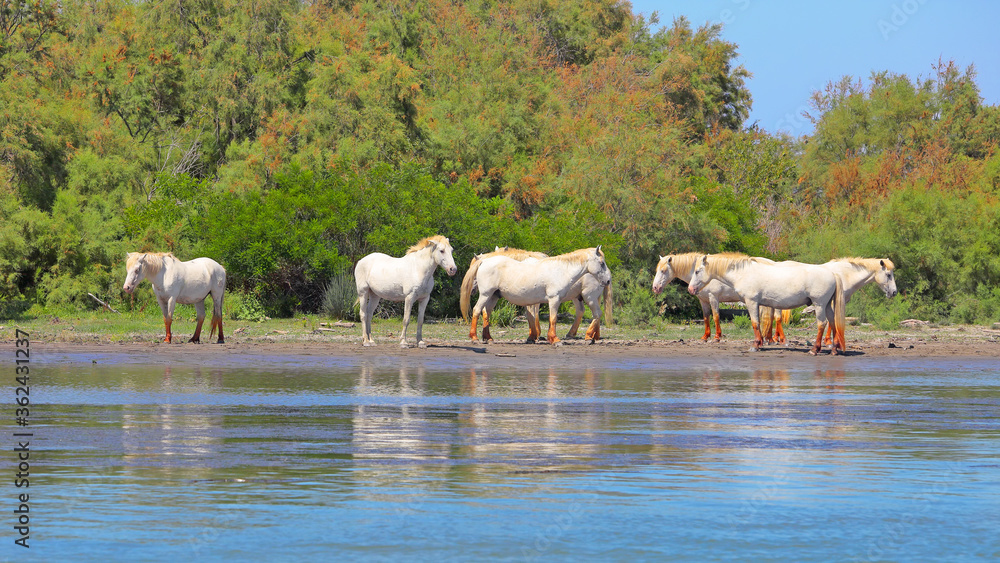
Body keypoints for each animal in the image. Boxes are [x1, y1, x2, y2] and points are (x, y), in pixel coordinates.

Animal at [461, 247, 613, 343]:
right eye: (602, 263)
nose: (608, 280)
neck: (561, 270)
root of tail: (484, 262)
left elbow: (542, 318)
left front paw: (542, 337)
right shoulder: (553, 299)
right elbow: (551, 319)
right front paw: (553, 339)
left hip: (493, 296)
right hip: (486, 294)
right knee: (477, 310)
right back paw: (474, 337)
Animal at [687, 253, 846, 355]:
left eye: (697, 271)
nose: (690, 289)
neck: (744, 273)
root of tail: (832, 273)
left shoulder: (751, 302)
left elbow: (754, 323)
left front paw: (755, 345)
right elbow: (758, 323)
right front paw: (760, 343)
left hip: (819, 305)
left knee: (821, 324)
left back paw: (815, 349)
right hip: (827, 305)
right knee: (833, 323)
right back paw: (834, 350)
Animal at [760, 257, 897, 346]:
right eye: (888, 275)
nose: (894, 292)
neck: (845, 275)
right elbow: (832, 321)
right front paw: (829, 341)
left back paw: (772, 338)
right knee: (777, 317)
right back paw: (780, 339)